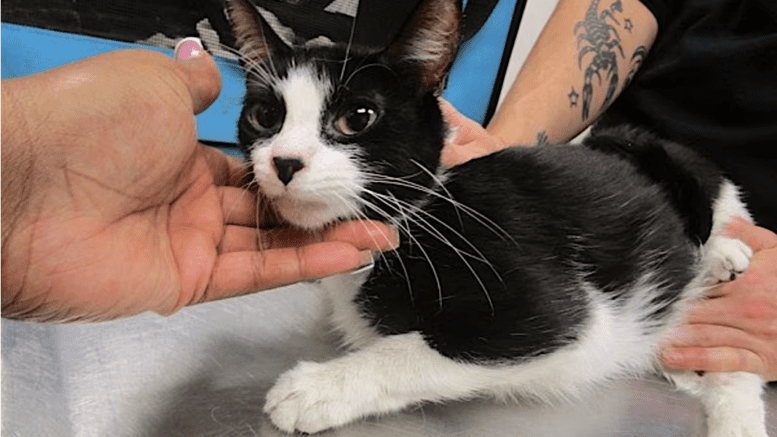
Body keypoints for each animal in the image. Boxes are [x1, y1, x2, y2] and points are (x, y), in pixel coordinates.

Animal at [223, 0, 764, 432]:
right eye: (265, 117)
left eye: (357, 118)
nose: (285, 162)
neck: (411, 220)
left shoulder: (556, 312)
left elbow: (422, 350)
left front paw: (316, 388)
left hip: (688, 170)